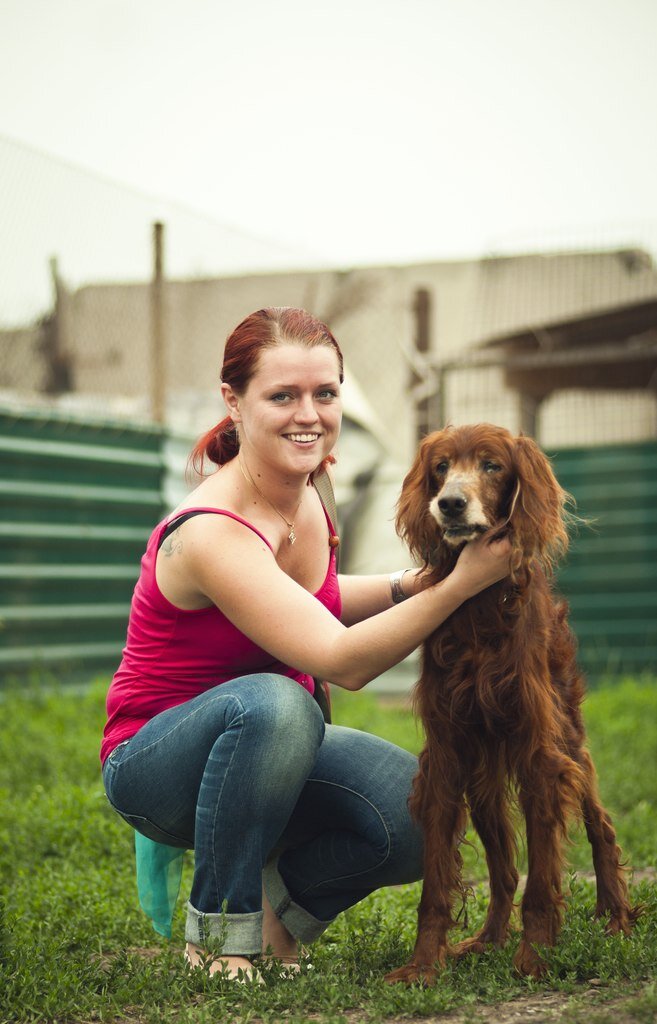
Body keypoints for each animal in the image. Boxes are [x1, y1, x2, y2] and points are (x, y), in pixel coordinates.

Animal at [384, 423, 634, 983]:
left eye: (492, 465)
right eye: (441, 467)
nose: (450, 504)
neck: (478, 604)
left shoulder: (540, 754)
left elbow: (541, 879)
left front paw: (535, 956)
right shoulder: (447, 754)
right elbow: (437, 883)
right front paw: (423, 965)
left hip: (570, 740)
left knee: (600, 825)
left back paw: (617, 917)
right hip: (482, 780)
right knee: (502, 870)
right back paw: (488, 939)